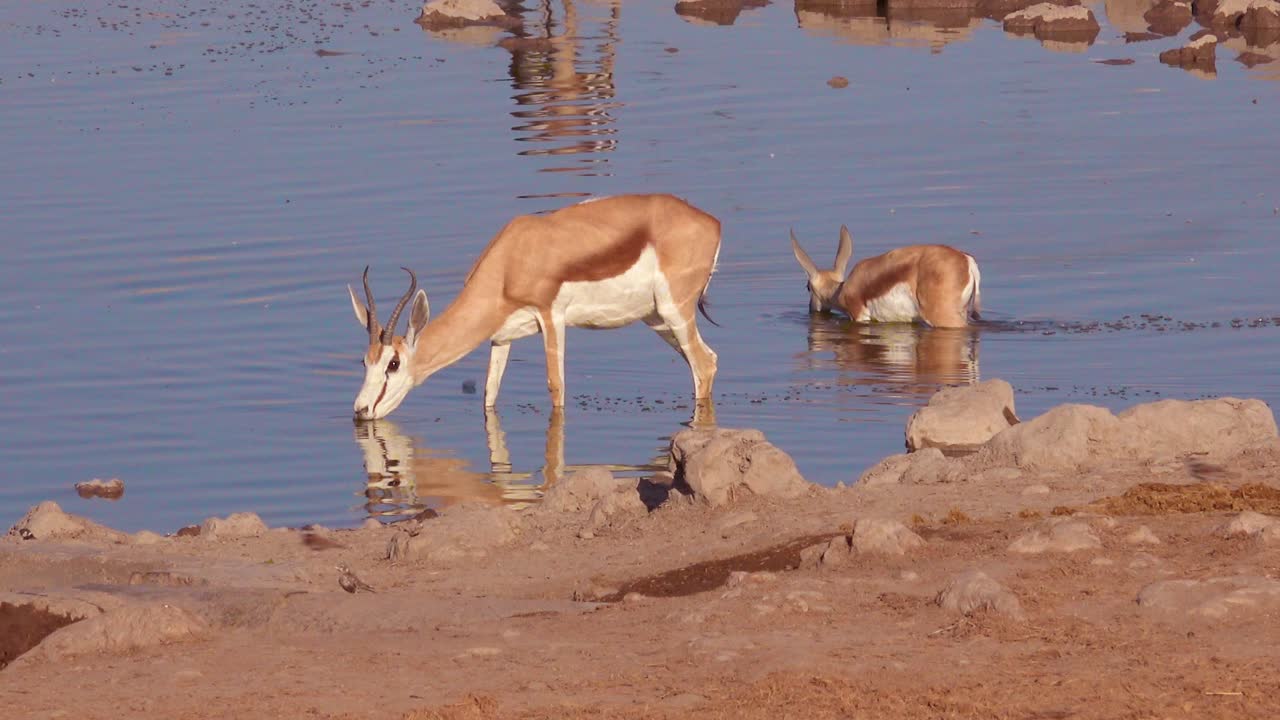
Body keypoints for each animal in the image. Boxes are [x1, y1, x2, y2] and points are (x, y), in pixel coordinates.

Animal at [349, 194, 721, 421]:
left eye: (393, 363)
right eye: (365, 361)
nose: (360, 409)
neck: (509, 261)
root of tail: (711, 222)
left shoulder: (551, 317)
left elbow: (556, 386)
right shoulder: (501, 337)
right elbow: (489, 393)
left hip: (675, 312)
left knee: (702, 366)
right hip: (657, 320)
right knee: (710, 361)